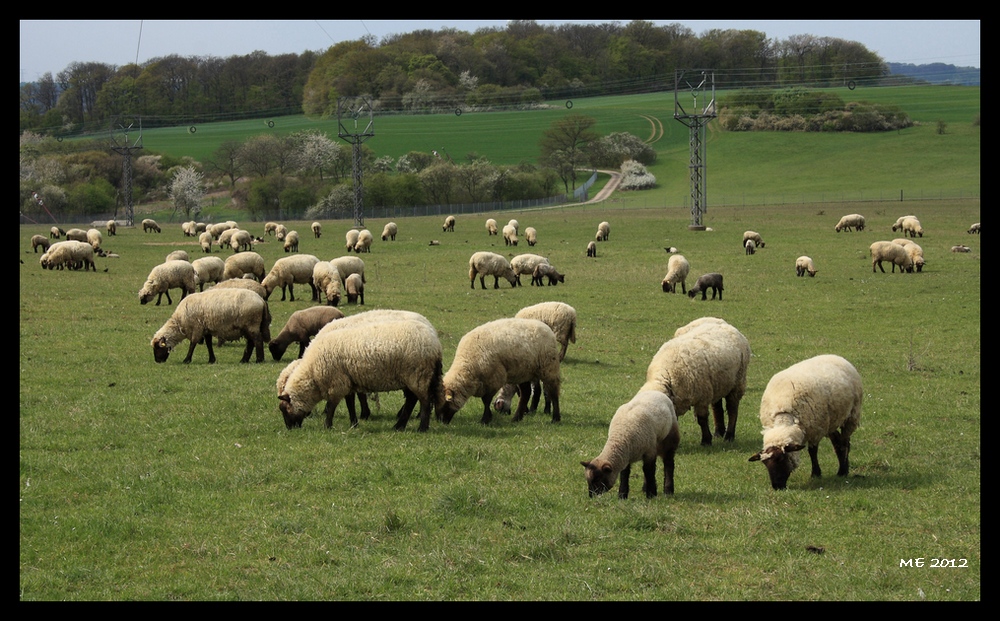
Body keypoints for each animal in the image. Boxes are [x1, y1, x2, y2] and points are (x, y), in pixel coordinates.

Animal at [278, 314, 442, 432]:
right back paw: (399, 425)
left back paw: (422, 427)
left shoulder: (337, 383)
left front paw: (327, 426)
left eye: (284, 409)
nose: (290, 429)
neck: (312, 373)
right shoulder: (347, 380)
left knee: (424, 400)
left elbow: (332, 406)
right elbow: (350, 403)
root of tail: (435, 343)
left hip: (417, 375)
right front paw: (354, 424)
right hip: (412, 377)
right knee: (412, 400)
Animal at [748, 354, 864, 490]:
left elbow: (812, 452)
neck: (784, 415)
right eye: (765, 463)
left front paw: (815, 474)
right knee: (838, 443)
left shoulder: (815, 430)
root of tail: (835, 356)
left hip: (851, 416)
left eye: (781, 459)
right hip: (831, 422)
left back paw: (843, 470)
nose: (777, 486)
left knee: (845, 443)